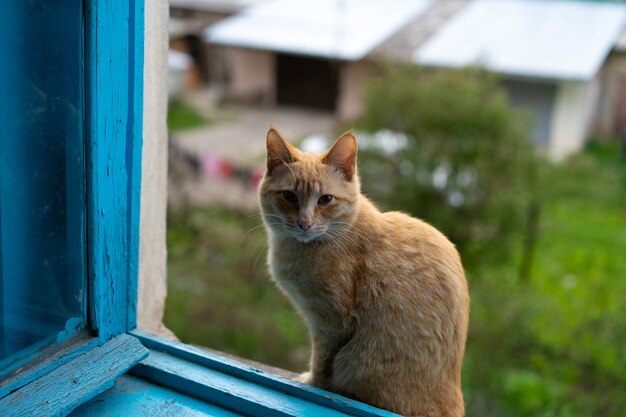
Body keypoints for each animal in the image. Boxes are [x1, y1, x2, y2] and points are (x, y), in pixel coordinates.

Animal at [258, 127, 468, 416]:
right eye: (289, 196)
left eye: (325, 199)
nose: (304, 223)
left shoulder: (332, 321)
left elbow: (321, 361)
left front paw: (311, 382)